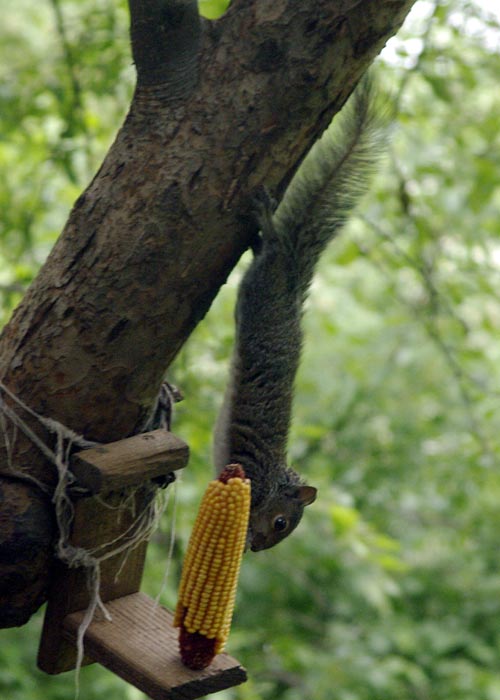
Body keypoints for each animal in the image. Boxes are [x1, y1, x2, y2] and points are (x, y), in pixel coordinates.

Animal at [214, 77, 386, 551]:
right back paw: (265, 217)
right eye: (280, 522)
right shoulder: (249, 475)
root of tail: (294, 272)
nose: (256, 548)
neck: (271, 480)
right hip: (263, 284)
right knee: (272, 241)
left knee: (264, 249)